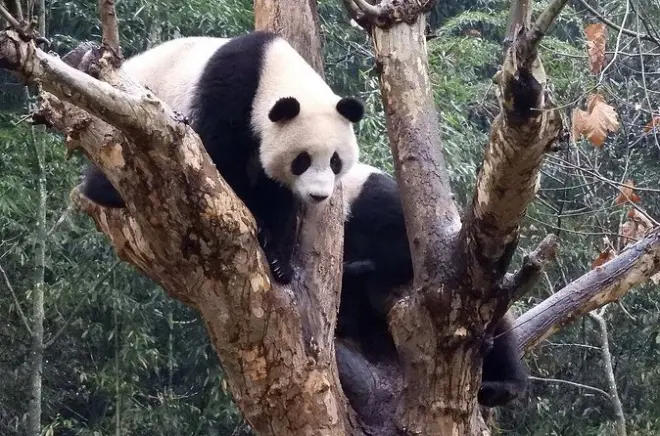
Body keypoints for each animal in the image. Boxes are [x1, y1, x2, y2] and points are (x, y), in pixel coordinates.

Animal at [80, 31, 365, 285]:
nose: (319, 195)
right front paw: (257, 221)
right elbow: (217, 159)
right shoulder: (231, 87)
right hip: (122, 122)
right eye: (302, 161)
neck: (272, 70)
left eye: (335, 161)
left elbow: (275, 191)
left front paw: (279, 262)